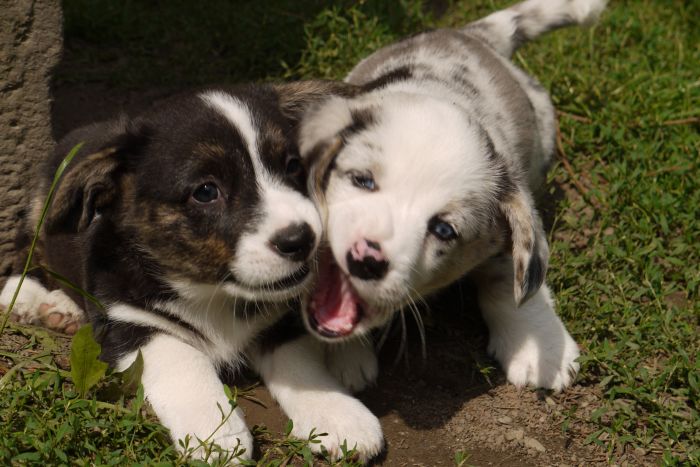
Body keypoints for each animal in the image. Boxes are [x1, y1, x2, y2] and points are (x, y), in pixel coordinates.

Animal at [0, 81, 387, 462]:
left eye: (292, 165)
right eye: (205, 191)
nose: (302, 240)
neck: (211, 289)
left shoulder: (279, 320)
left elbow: (302, 365)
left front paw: (338, 415)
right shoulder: (131, 323)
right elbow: (184, 360)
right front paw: (217, 433)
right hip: (40, 208)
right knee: (26, 245)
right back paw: (32, 298)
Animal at [296, 0, 607, 413]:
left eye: (443, 230)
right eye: (362, 180)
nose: (366, 260)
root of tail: (472, 36)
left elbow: (507, 277)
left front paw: (538, 345)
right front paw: (345, 359)